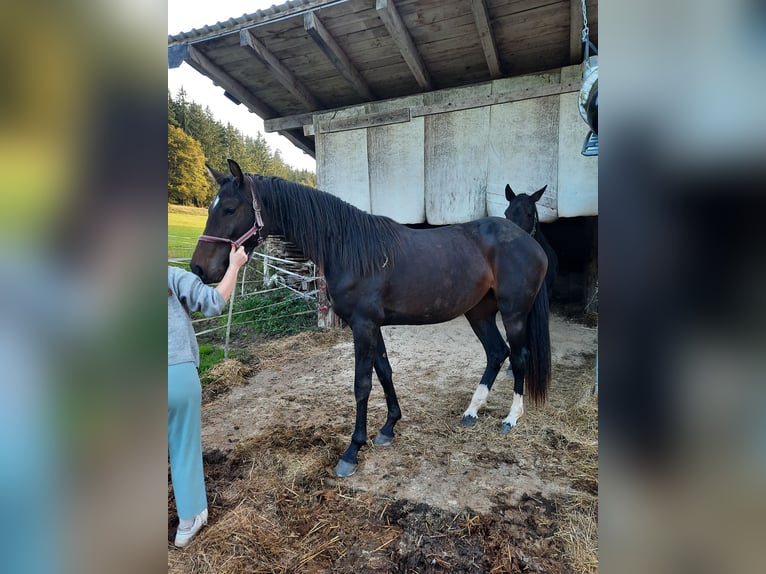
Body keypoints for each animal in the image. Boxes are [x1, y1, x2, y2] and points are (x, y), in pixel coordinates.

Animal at [191, 159, 551, 478]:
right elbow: (385, 372)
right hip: (479, 312)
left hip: (513, 313)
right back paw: (471, 411)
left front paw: (352, 451)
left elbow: (362, 384)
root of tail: (529, 242)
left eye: (230, 209)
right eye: (211, 209)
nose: (199, 268)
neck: (349, 248)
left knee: (518, 357)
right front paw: (389, 427)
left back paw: (511, 418)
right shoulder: (370, 325)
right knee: (496, 353)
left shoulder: (363, 326)